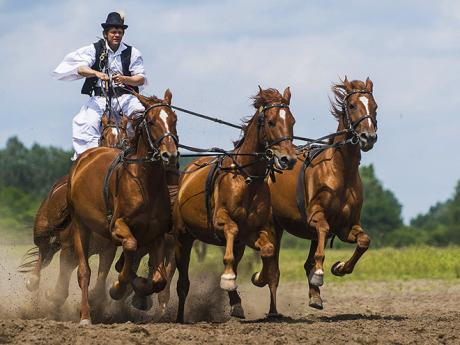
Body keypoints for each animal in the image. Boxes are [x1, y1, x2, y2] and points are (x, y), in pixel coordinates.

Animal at [68, 89, 178, 322]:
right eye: (152, 121)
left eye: (174, 119)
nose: (170, 155)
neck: (144, 183)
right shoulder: (118, 226)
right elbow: (130, 246)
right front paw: (117, 287)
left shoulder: (157, 234)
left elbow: (159, 279)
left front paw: (141, 287)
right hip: (80, 225)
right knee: (84, 272)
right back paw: (85, 315)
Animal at [174, 86, 296, 322]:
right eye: (271, 122)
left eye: (292, 121)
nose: (289, 159)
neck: (246, 178)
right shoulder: (221, 221)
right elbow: (231, 229)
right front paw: (228, 278)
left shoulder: (253, 232)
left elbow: (268, 250)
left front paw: (259, 277)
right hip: (183, 237)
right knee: (182, 281)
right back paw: (179, 316)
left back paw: (236, 303)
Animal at [270, 78, 378, 310]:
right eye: (352, 105)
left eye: (375, 107)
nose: (369, 137)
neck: (340, 171)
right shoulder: (315, 217)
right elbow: (323, 229)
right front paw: (319, 273)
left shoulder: (346, 227)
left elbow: (364, 241)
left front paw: (340, 267)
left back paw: (315, 295)